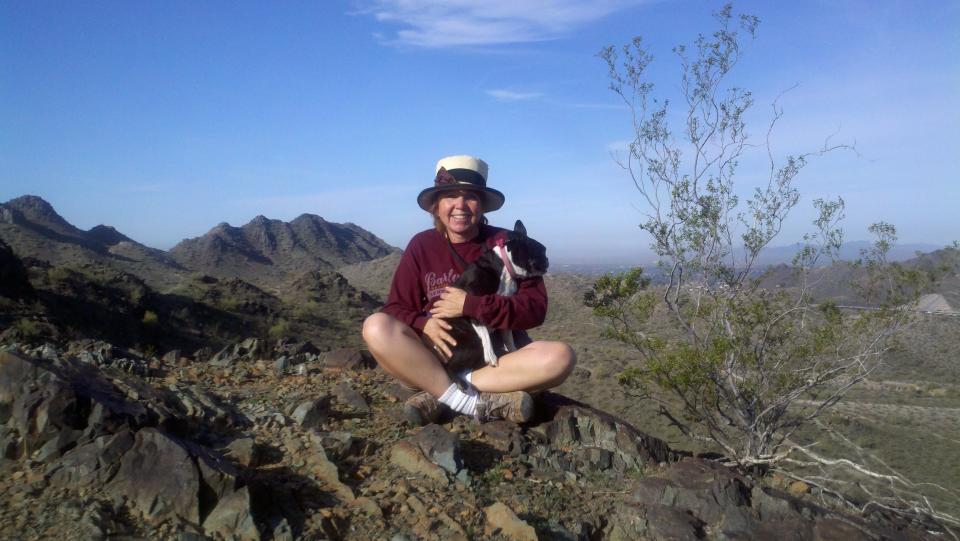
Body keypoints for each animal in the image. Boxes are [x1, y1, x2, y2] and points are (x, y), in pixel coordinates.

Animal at [442, 219, 548, 380]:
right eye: (542, 251)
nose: (547, 260)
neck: (506, 266)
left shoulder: (504, 313)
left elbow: (508, 337)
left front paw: (513, 351)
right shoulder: (473, 303)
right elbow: (485, 333)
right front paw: (491, 355)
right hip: (471, 343)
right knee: (450, 368)